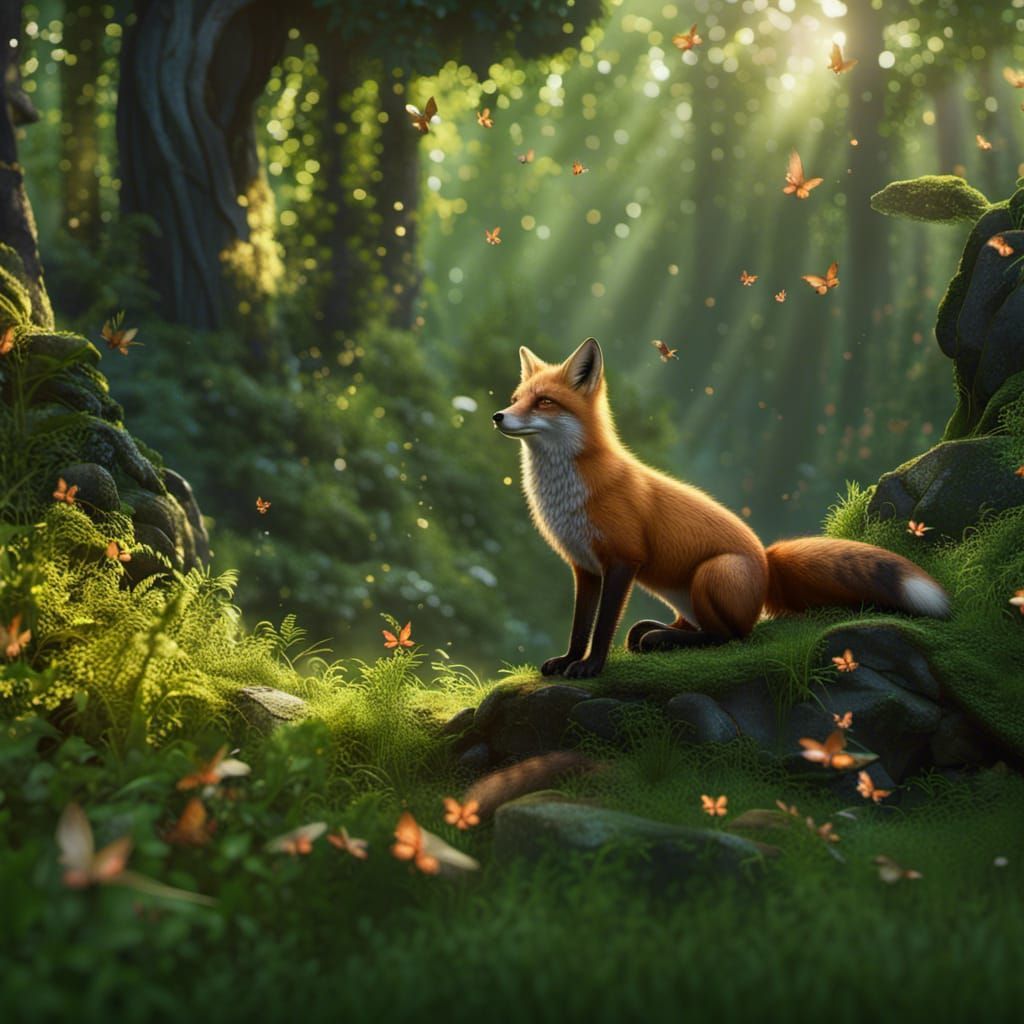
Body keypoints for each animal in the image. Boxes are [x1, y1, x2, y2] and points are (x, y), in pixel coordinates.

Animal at [492, 337, 950, 680]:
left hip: (713, 573)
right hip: (685, 593)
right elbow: (579, 626)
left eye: (545, 402)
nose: (498, 416)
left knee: (731, 636)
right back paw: (657, 633)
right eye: (516, 399)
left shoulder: (623, 560)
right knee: (694, 628)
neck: (569, 492)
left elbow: (603, 626)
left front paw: (591, 668)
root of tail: (766, 559)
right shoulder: (584, 567)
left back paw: (664, 640)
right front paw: (569, 660)